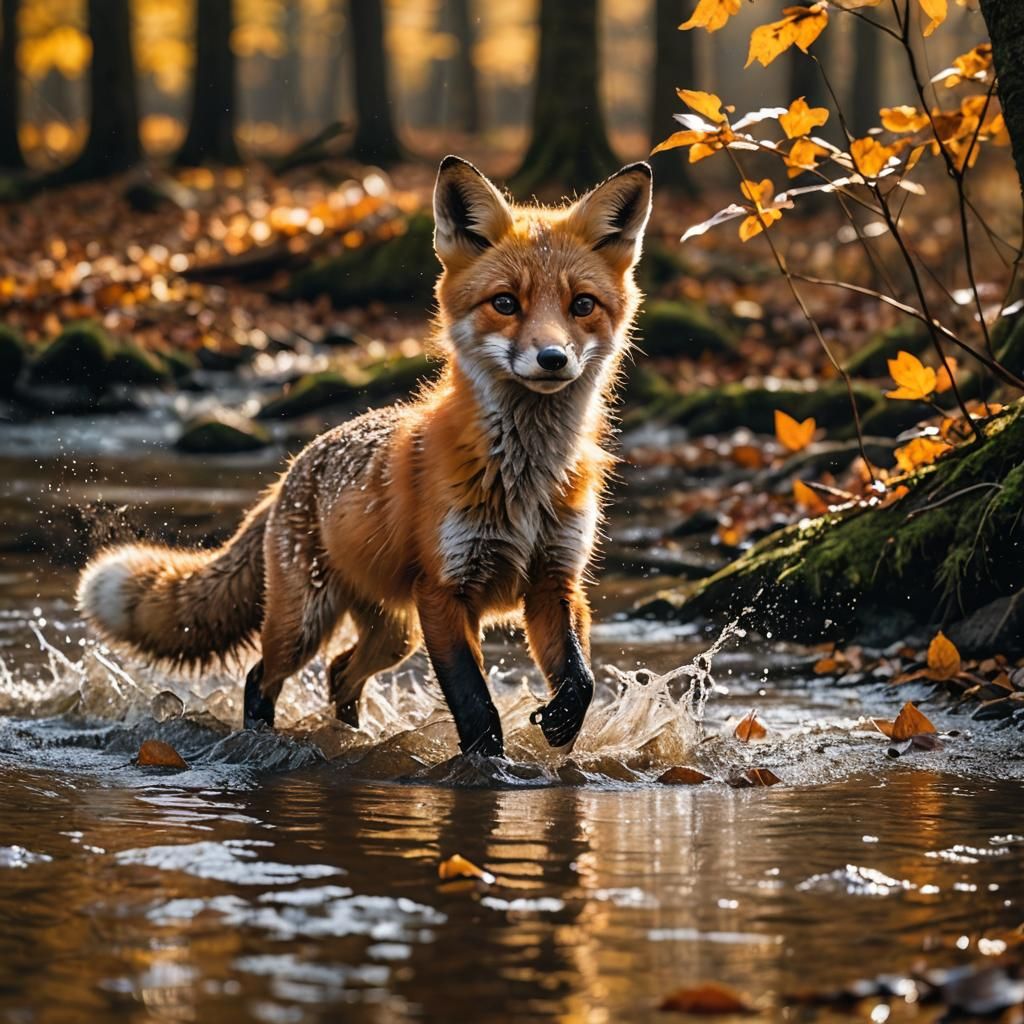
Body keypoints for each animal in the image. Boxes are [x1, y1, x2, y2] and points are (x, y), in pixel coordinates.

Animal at [76, 155, 652, 758]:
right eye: (505, 303)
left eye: (581, 305)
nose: (553, 358)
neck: (524, 481)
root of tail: (289, 472)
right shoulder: (444, 591)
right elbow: (476, 708)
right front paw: (488, 768)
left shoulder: (553, 580)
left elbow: (580, 678)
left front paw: (563, 719)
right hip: (306, 623)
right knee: (263, 675)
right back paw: (264, 738)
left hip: (393, 634)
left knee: (339, 672)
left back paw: (348, 734)